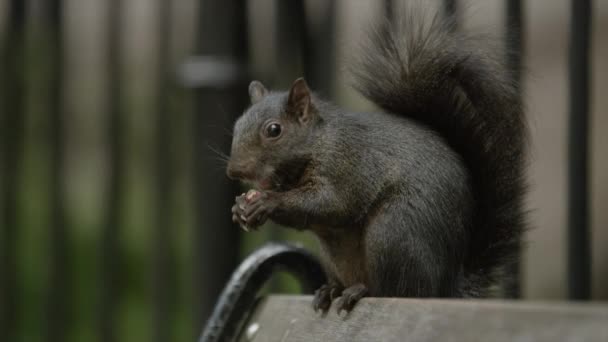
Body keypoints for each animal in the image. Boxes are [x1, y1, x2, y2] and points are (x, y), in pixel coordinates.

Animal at [226, 8, 524, 314]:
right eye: (237, 124)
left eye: (274, 130)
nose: (234, 171)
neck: (318, 143)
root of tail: (446, 287)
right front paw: (240, 208)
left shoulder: (346, 166)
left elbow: (331, 203)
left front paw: (266, 202)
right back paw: (331, 290)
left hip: (393, 232)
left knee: (399, 290)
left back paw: (360, 291)